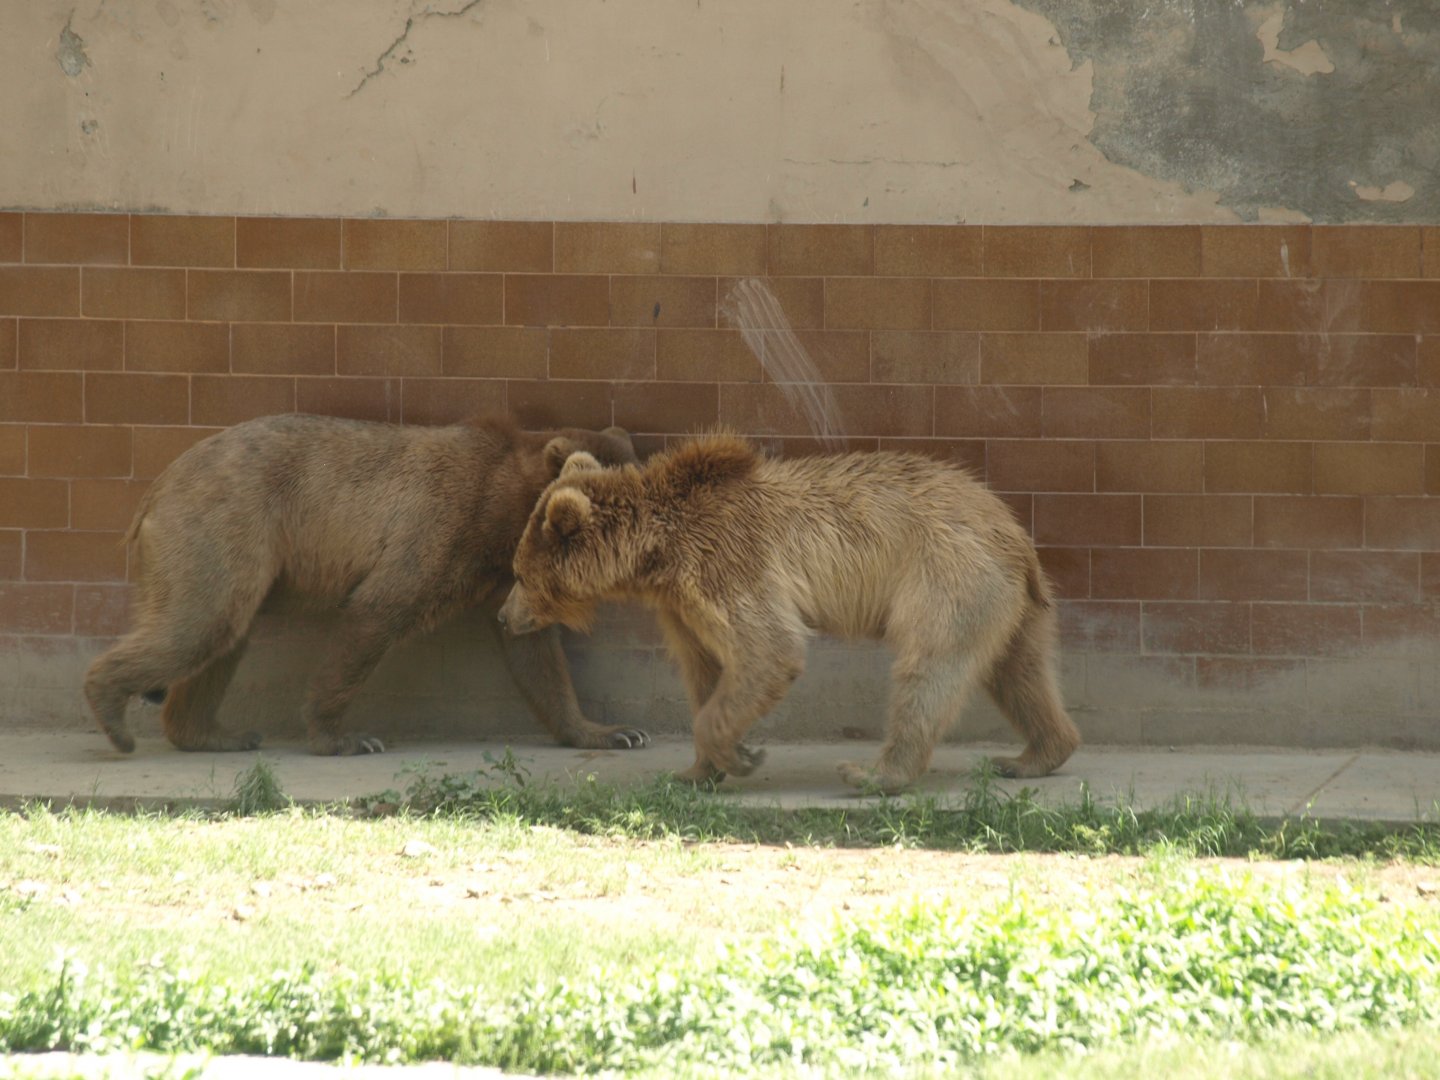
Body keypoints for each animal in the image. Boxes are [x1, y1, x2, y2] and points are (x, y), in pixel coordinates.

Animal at [84, 413, 647, 757]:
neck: (504, 514)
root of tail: (156, 489)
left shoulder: (503, 577)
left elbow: (535, 653)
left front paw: (612, 731)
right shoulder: (439, 528)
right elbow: (376, 613)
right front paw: (344, 737)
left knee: (222, 640)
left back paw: (216, 732)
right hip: (224, 527)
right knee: (199, 623)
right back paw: (113, 713)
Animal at [498, 433, 1080, 794]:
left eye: (519, 572)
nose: (503, 617)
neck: (656, 554)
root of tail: (1012, 529)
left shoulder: (728, 562)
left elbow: (769, 648)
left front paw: (740, 757)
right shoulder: (684, 609)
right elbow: (707, 672)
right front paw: (694, 772)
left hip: (947, 578)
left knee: (929, 671)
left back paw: (875, 773)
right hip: (1011, 605)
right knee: (1019, 673)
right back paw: (1033, 755)